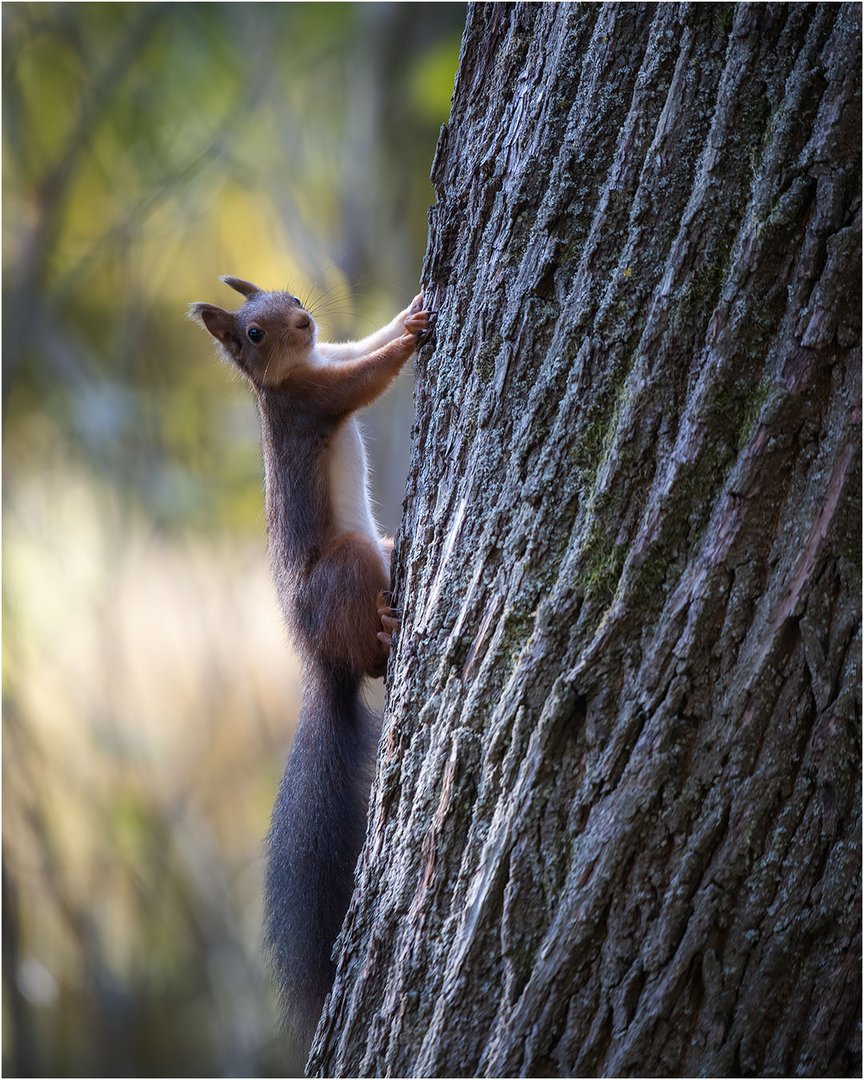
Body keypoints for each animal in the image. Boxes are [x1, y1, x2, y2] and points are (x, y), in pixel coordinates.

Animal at [190, 274, 432, 1049]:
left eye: (292, 298)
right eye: (252, 333)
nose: (302, 321)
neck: (296, 371)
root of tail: (320, 659)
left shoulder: (330, 354)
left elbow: (358, 345)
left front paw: (407, 312)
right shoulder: (314, 402)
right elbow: (363, 378)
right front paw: (411, 338)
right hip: (349, 565)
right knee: (374, 661)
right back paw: (385, 633)